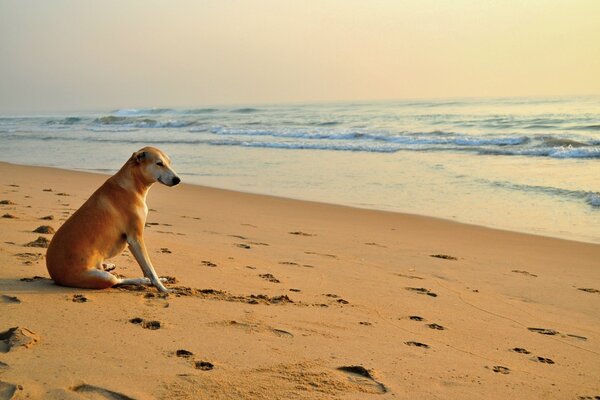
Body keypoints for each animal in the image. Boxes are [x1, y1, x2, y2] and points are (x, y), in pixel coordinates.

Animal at [46, 147, 180, 294]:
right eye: (159, 163)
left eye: (169, 163)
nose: (178, 180)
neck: (132, 184)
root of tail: (54, 275)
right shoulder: (136, 239)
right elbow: (150, 270)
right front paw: (162, 288)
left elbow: (147, 269)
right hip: (102, 277)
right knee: (117, 281)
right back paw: (142, 280)